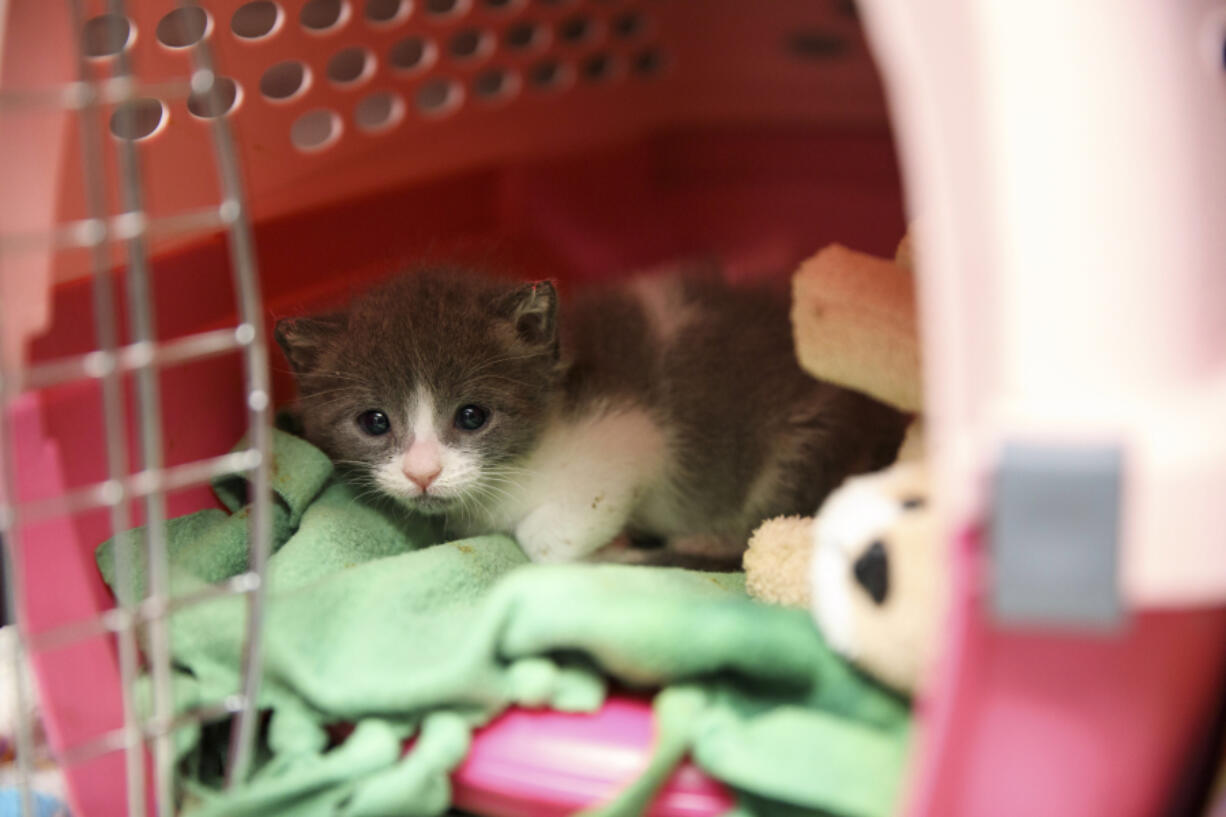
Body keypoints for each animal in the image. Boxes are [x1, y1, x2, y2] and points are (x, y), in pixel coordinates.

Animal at [280, 263, 912, 564]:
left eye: (471, 416)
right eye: (374, 422)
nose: (422, 473)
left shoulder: (631, 437)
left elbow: (546, 538)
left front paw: (613, 548)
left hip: (804, 449)